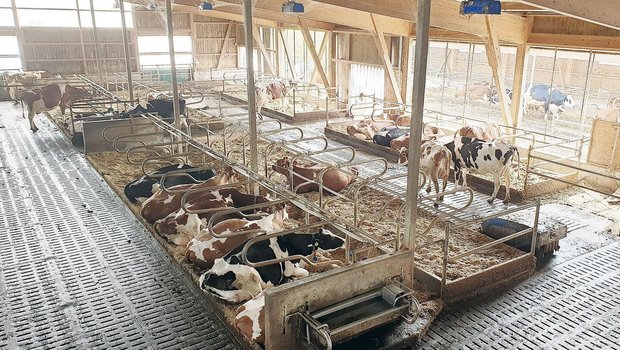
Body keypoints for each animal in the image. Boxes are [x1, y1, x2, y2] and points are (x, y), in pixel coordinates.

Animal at [201, 228, 346, 302]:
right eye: (331, 238)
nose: (345, 240)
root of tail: (207, 277)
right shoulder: (289, 269)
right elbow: (305, 273)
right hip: (251, 278)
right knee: (253, 294)